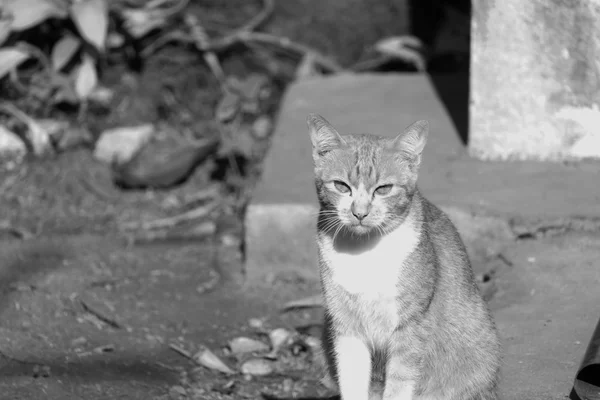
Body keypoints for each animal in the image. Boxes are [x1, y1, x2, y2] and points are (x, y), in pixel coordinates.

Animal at [308, 113, 500, 400]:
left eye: (383, 189)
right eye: (341, 186)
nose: (360, 213)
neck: (365, 253)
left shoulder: (411, 326)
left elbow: (399, 382)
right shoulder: (346, 327)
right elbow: (352, 380)